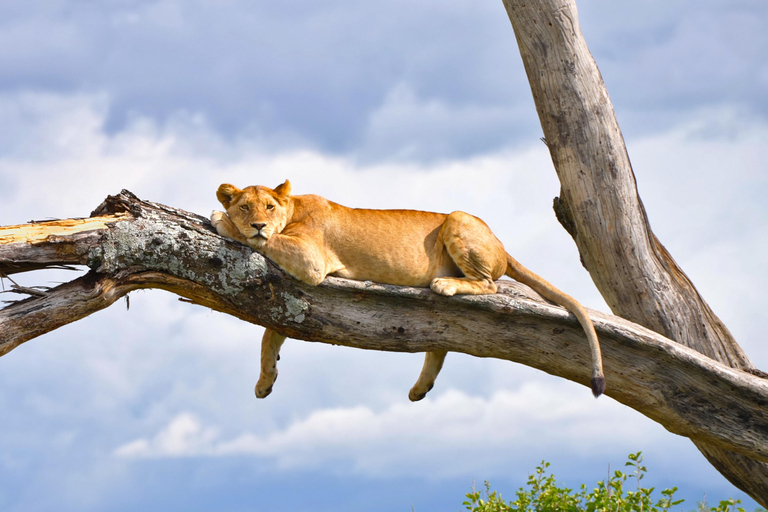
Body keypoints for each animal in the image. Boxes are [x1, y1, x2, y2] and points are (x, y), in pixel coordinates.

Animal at [212, 180, 608, 400]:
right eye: (245, 206)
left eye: (269, 206)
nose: (258, 223)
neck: (292, 209)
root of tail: (502, 246)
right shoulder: (290, 297)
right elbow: (270, 336)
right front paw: (264, 383)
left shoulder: (311, 261)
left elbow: (269, 242)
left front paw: (221, 220)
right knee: (441, 343)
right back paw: (419, 390)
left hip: (458, 218)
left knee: (491, 285)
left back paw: (445, 284)